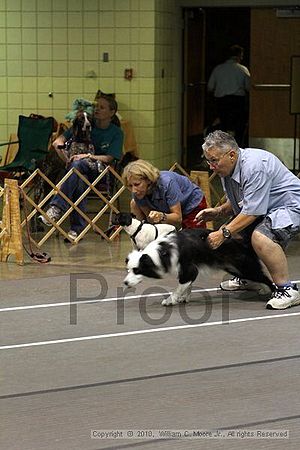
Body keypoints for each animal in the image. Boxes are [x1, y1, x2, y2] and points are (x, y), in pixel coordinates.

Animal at [123, 229, 274, 306]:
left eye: (137, 270)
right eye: (128, 270)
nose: (125, 282)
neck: (161, 253)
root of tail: (242, 241)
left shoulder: (188, 269)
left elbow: (179, 287)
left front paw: (171, 300)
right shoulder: (188, 270)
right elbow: (187, 285)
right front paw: (184, 298)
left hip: (243, 266)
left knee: (265, 277)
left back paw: (271, 292)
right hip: (234, 268)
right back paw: (263, 289)